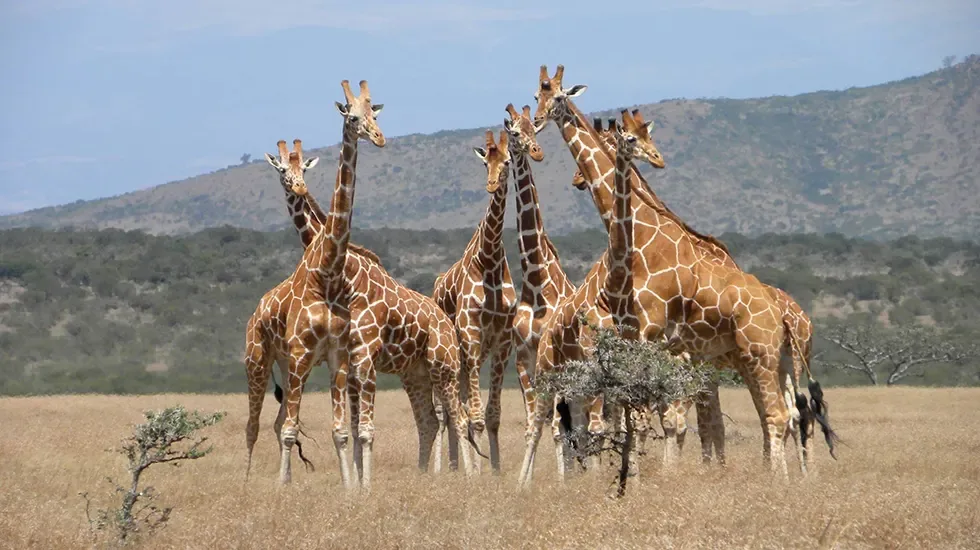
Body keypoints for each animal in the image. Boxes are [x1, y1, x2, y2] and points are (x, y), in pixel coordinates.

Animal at [244, 80, 477, 490]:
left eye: (374, 114)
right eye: (352, 117)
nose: (379, 137)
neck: (333, 272)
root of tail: (447, 323)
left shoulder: (359, 356)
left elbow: (360, 428)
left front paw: (361, 485)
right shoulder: (344, 360)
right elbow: (348, 428)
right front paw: (352, 482)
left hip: (442, 366)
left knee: (455, 417)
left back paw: (461, 475)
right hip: (402, 371)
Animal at [517, 66, 835, 487]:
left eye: (556, 96)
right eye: (536, 95)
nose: (537, 122)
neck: (643, 233)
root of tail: (792, 316)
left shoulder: (661, 342)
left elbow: (669, 421)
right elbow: (672, 420)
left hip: (764, 357)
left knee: (784, 415)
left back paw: (786, 478)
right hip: (771, 361)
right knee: (791, 414)